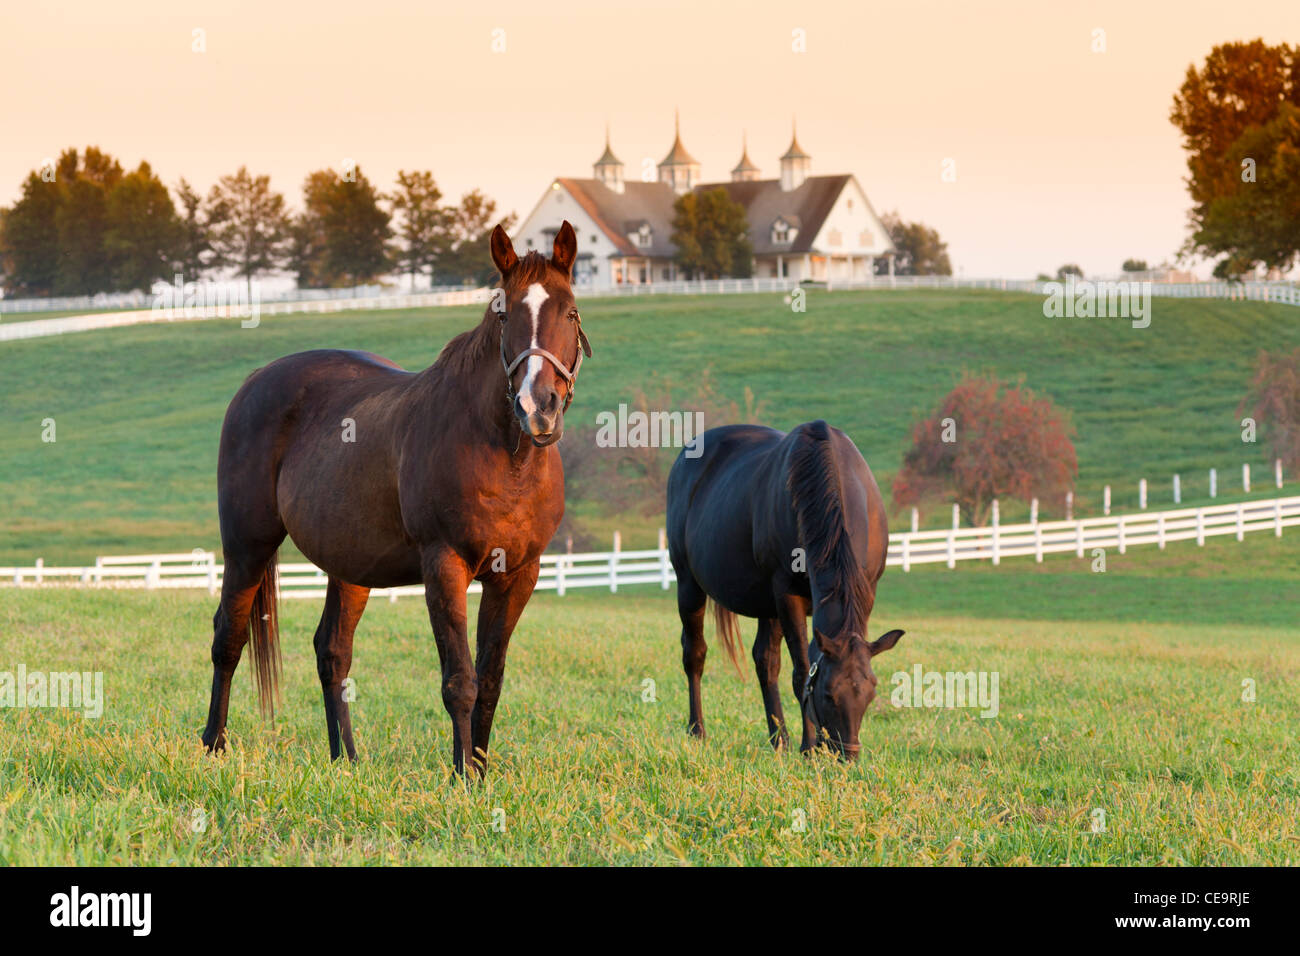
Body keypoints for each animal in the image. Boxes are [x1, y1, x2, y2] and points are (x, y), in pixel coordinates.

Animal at [200, 221, 592, 775]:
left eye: (571, 312)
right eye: (504, 313)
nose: (538, 407)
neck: (504, 456)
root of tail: (256, 381)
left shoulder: (518, 575)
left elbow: (490, 680)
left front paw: (480, 770)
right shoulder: (444, 565)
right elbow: (460, 681)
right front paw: (462, 778)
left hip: (349, 565)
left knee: (332, 651)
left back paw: (345, 758)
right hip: (247, 547)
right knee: (228, 638)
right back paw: (214, 744)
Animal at [670, 421, 904, 759]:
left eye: (870, 693)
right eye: (828, 694)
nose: (846, 755)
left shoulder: (864, 592)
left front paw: (806, 743)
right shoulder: (787, 594)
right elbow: (801, 671)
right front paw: (809, 747)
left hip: (766, 605)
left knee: (765, 661)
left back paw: (778, 739)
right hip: (689, 584)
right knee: (695, 653)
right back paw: (697, 730)